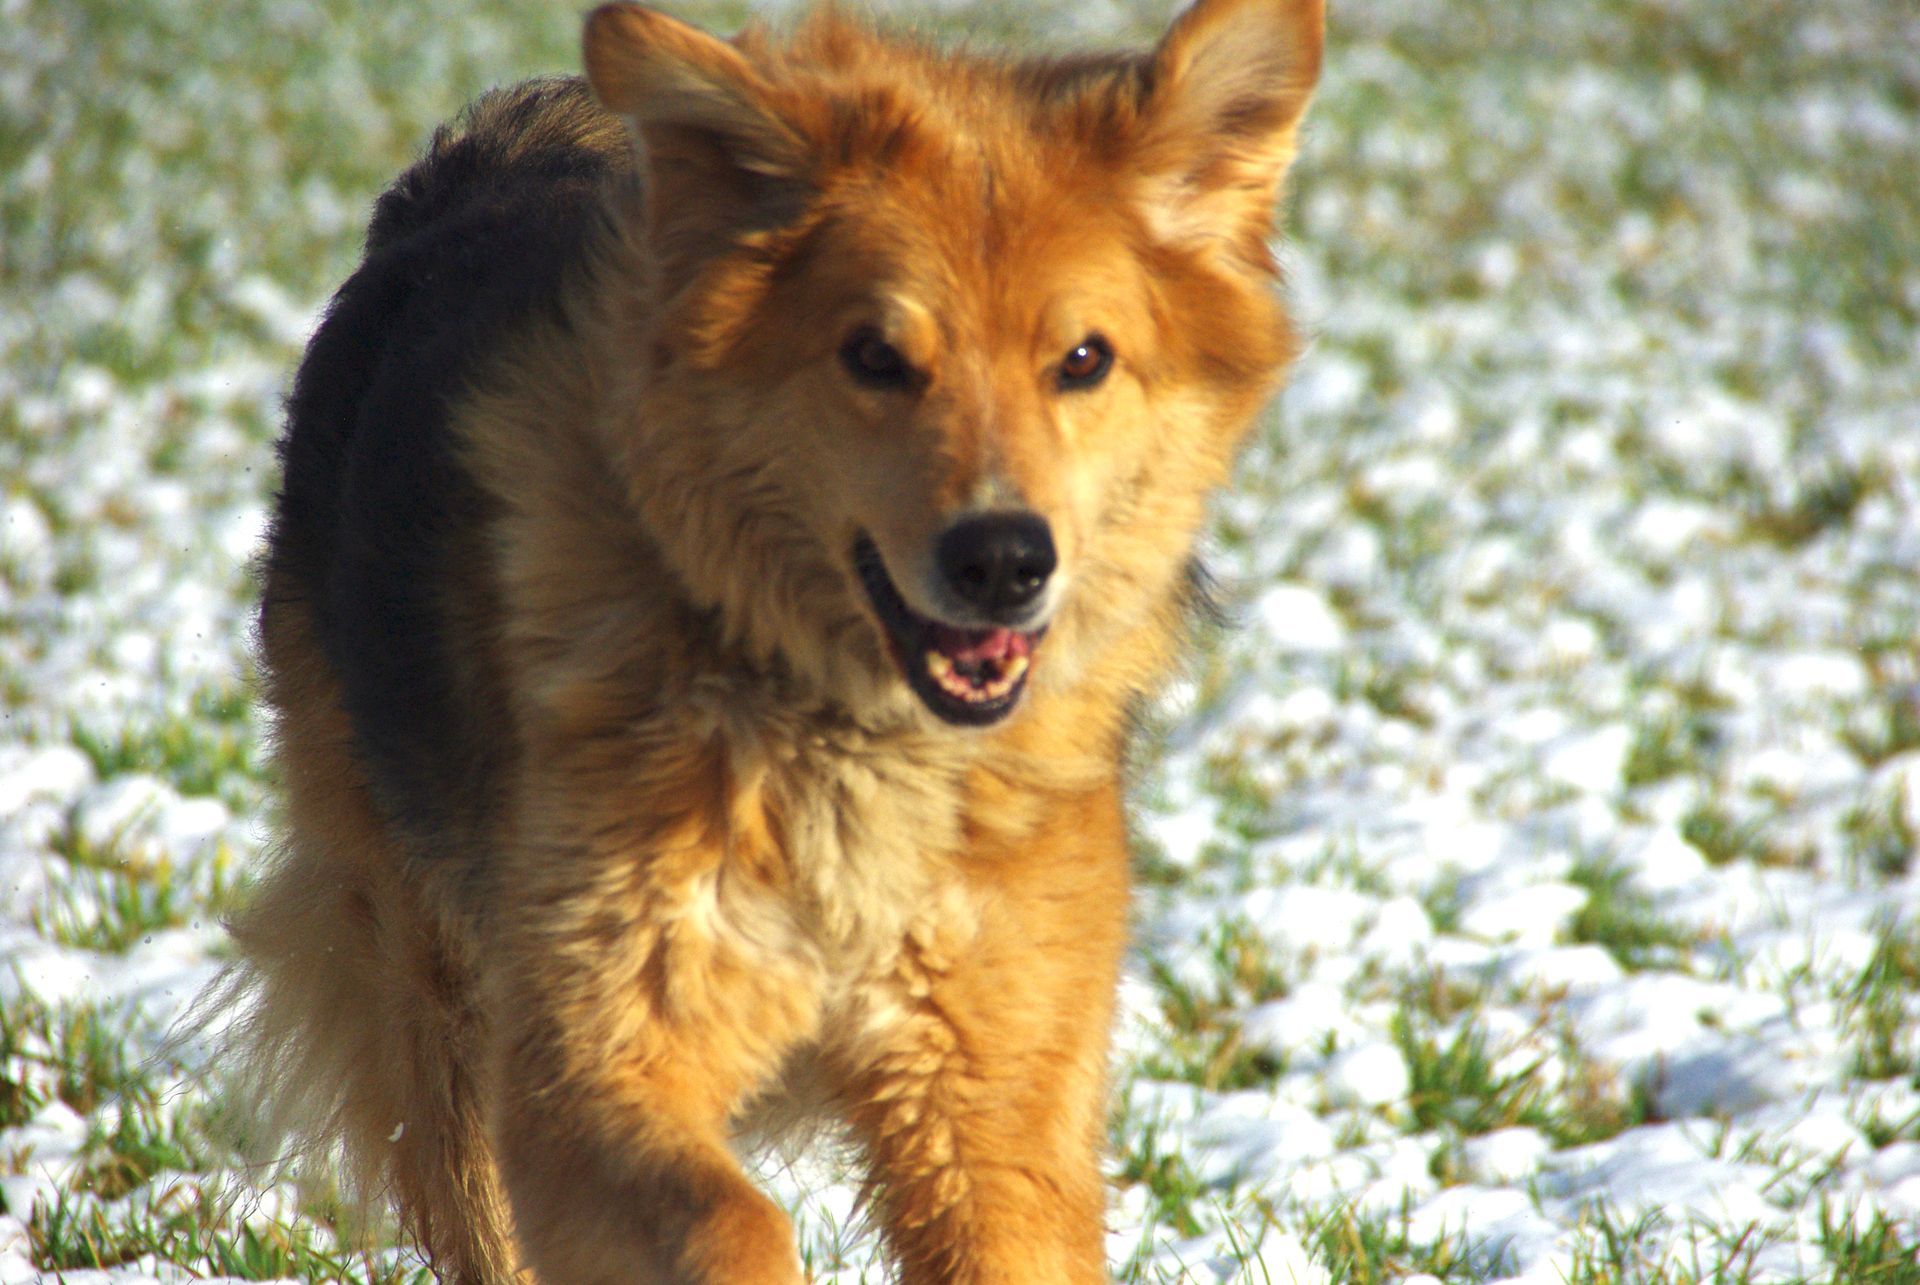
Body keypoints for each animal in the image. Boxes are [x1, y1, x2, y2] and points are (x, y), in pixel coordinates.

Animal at [228, 2, 1320, 1275]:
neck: (856, 743)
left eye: (1084, 359)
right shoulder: (586, 1062)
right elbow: (731, 1215)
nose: (1004, 560)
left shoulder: (992, 1105)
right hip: (433, 985)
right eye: (875, 356)